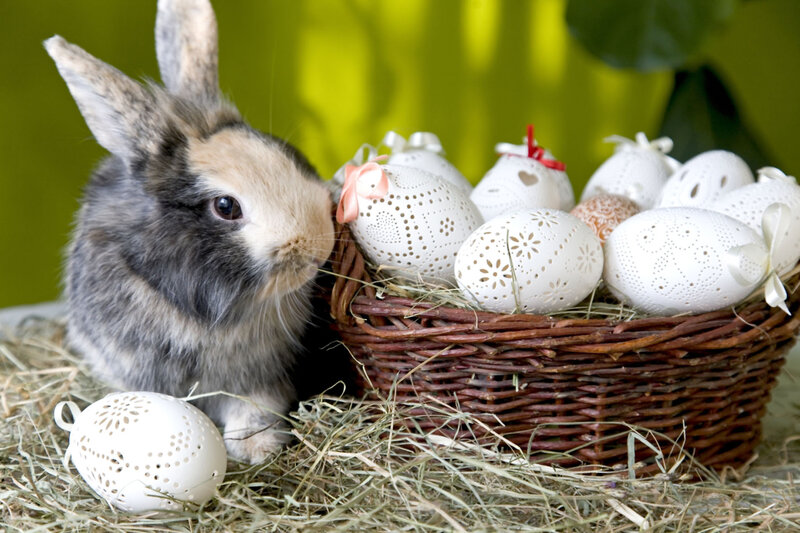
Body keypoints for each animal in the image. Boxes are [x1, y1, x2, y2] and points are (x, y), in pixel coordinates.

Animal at [44, 0, 336, 464]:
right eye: (225, 207)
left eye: (285, 154)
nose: (318, 248)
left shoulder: (262, 378)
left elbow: (256, 406)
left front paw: (255, 447)